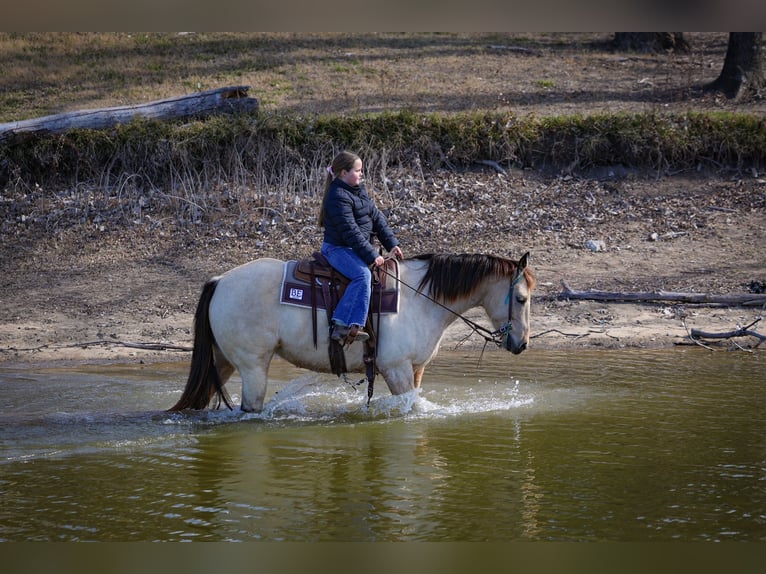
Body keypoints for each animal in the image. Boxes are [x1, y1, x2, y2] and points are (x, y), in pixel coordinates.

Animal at [169, 252, 535, 413]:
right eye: (521, 298)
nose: (521, 344)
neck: (420, 298)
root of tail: (220, 281)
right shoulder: (396, 368)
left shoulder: (416, 369)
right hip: (252, 366)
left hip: (222, 360)